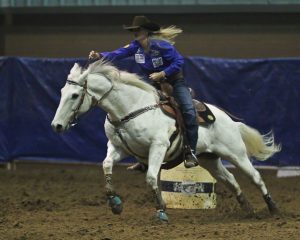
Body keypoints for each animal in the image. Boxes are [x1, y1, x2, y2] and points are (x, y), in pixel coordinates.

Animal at [51, 60, 282, 221]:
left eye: (74, 95)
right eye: (62, 92)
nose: (57, 126)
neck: (130, 109)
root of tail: (229, 120)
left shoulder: (158, 147)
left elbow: (152, 177)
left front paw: (161, 212)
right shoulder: (118, 147)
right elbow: (106, 164)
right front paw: (115, 203)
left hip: (236, 154)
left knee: (255, 177)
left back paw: (274, 209)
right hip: (210, 160)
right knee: (231, 180)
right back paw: (248, 209)